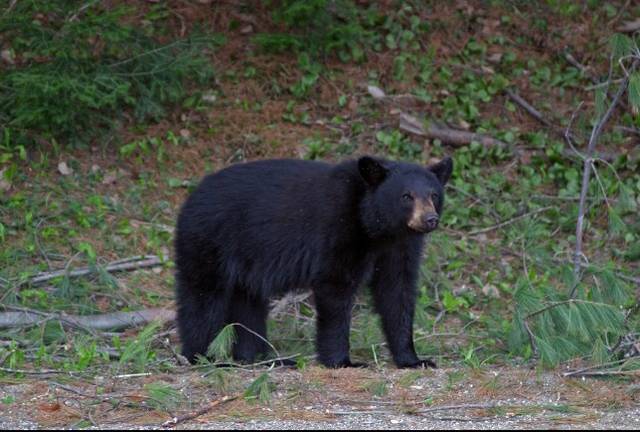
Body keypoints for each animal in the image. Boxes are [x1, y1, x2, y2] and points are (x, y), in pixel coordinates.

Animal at [174, 155, 453, 368]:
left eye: (433, 195)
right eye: (406, 196)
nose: (429, 219)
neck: (377, 228)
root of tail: (191, 198)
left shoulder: (399, 247)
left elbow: (397, 292)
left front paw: (413, 359)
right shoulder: (338, 230)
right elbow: (336, 288)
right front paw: (343, 361)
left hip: (246, 262)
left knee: (248, 303)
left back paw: (262, 358)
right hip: (210, 241)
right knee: (203, 298)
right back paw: (206, 357)